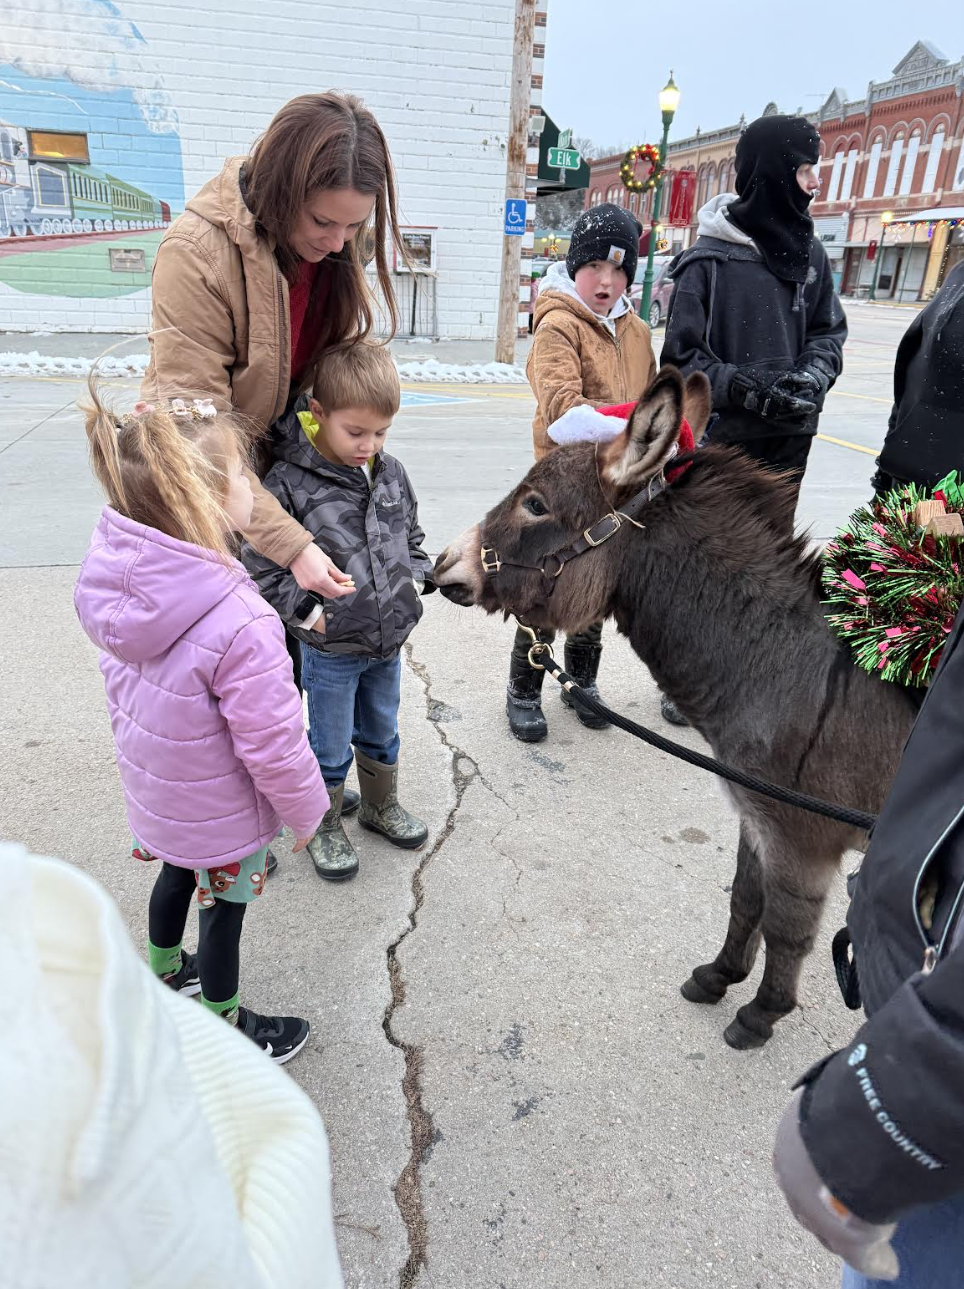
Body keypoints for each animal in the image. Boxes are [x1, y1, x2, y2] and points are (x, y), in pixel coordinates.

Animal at [433, 367, 918, 1050]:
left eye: (535, 505)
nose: (441, 565)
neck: (792, 673)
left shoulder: (802, 843)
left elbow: (787, 931)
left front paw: (762, 1014)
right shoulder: (756, 817)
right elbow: (744, 899)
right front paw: (717, 978)